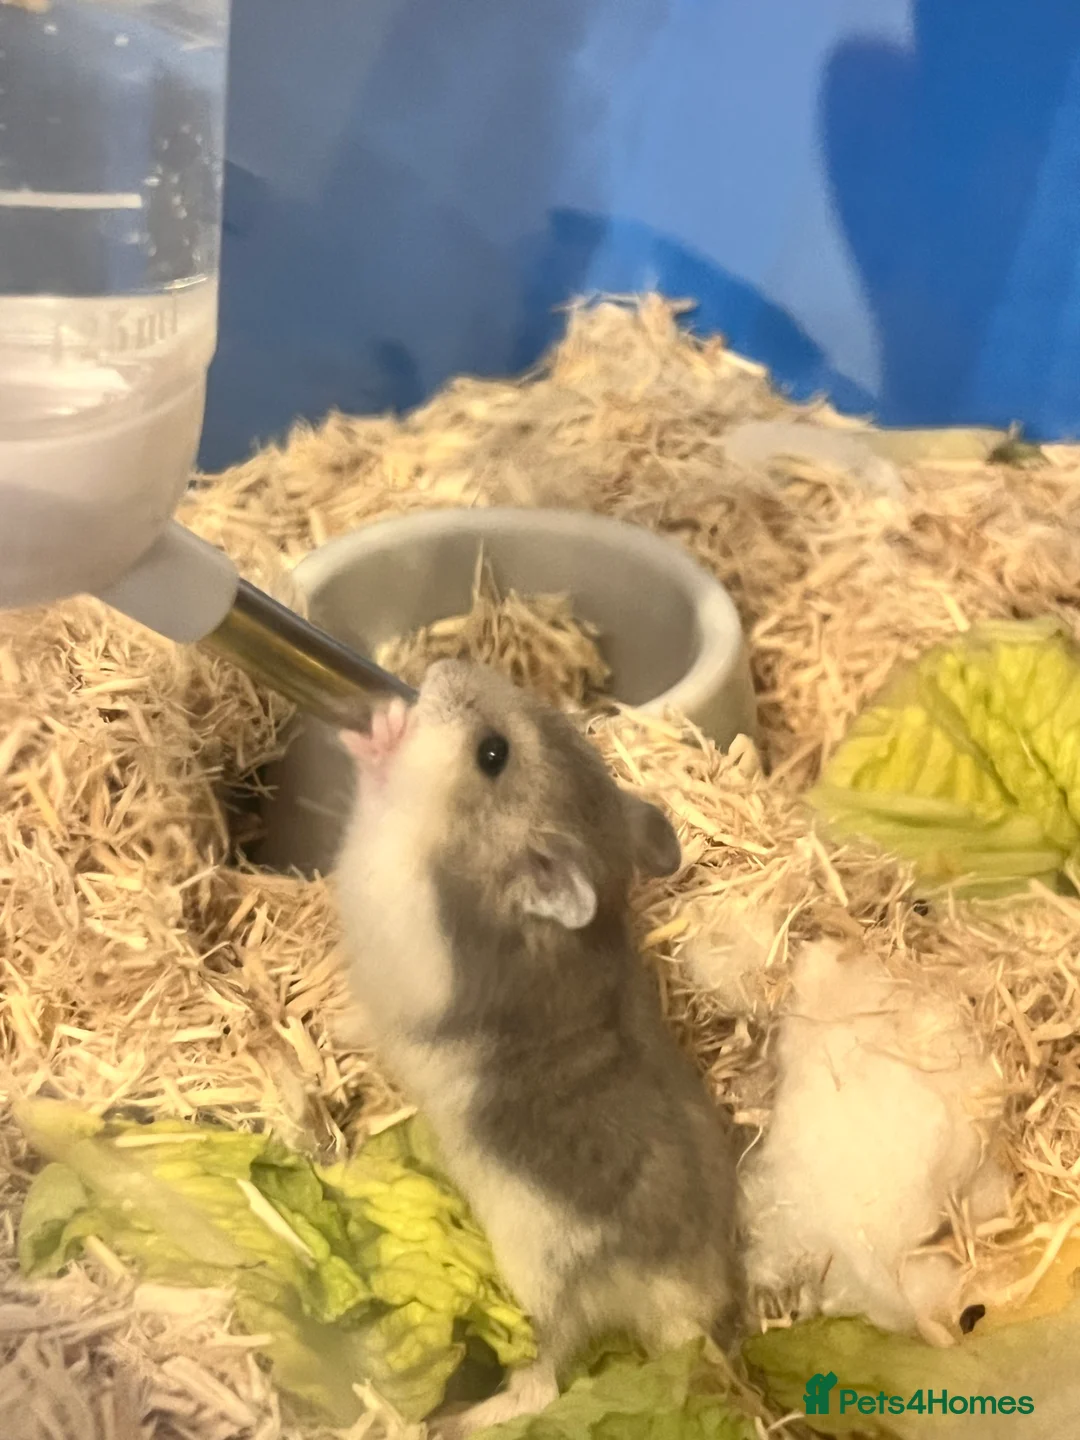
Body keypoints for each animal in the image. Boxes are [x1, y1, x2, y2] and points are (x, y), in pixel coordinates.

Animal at [335, 660, 741, 1437]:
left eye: (493, 754)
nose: (443, 668)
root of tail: (685, 1309)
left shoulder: (400, 905)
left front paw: (378, 733)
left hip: (537, 1284)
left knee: (542, 1384)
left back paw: (456, 1418)